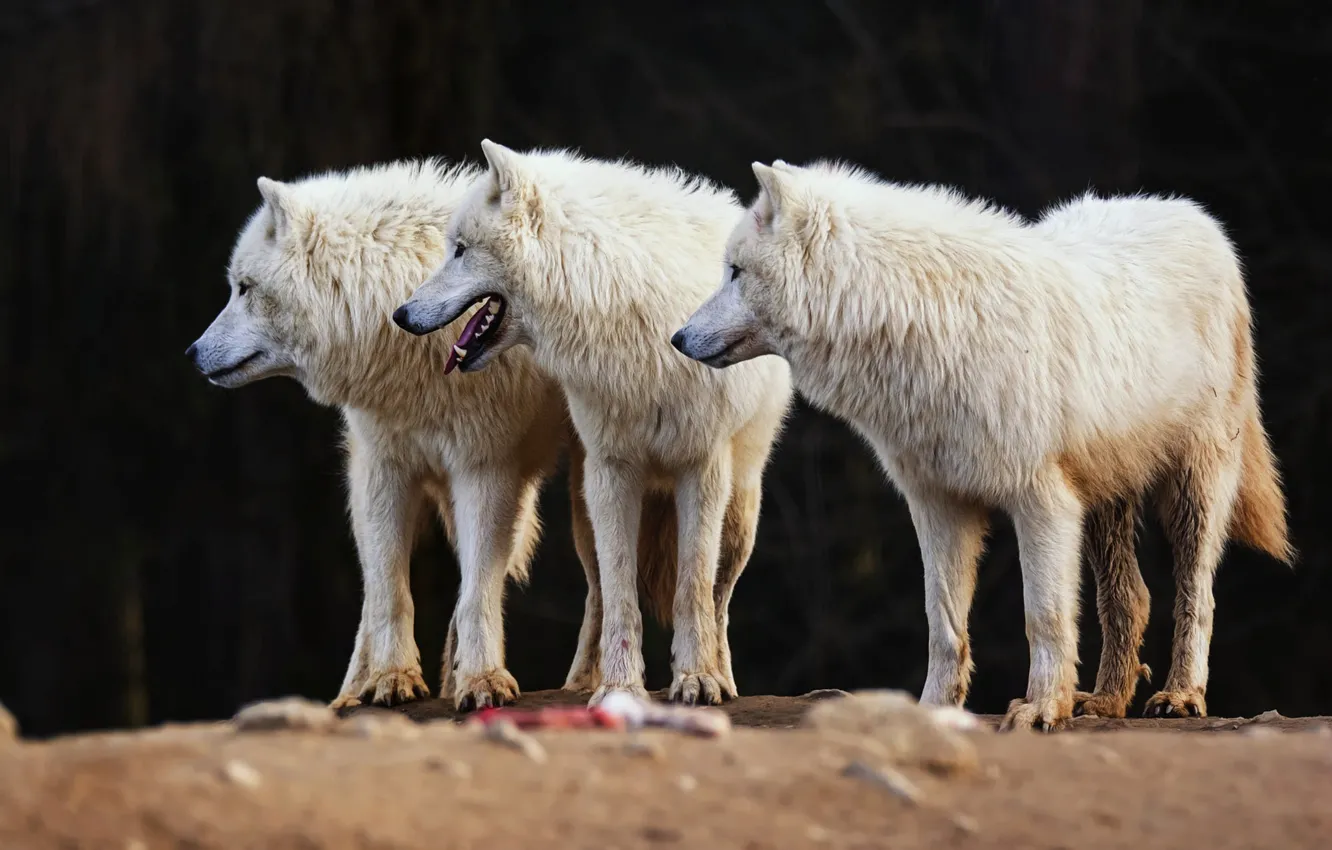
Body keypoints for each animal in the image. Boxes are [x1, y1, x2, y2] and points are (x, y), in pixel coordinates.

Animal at [186, 160, 606, 711]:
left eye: (245, 288)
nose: (192, 353)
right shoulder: (382, 469)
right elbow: (390, 591)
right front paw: (393, 678)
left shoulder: (486, 470)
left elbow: (476, 593)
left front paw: (482, 681)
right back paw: (352, 694)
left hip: (587, 500)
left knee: (602, 590)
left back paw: (585, 683)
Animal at [393, 142, 794, 706]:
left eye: (461, 250)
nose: (401, 314)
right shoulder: (612, 469)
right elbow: (622, 595)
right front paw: (619, 689)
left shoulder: (701, 466)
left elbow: (691, 588)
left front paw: (696, 679)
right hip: (586, 510)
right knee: (600, 594)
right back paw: (583, 681)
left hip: (739, 515)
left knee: (718, 600)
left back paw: (724, 677)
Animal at [673, 159, 1291, 729]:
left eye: (735, 272)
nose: (677, 338)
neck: (925, 324)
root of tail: (1190, 213)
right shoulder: (938, 504)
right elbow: (943, 626)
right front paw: (933, 712)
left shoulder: (1042, 502)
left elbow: (1043, 617)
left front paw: (1041, 708)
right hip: (1104, 501)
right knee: (1131, 598)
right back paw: (1105, 702)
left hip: (1193, 490)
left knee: (1197, 596)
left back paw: (1180, 696)